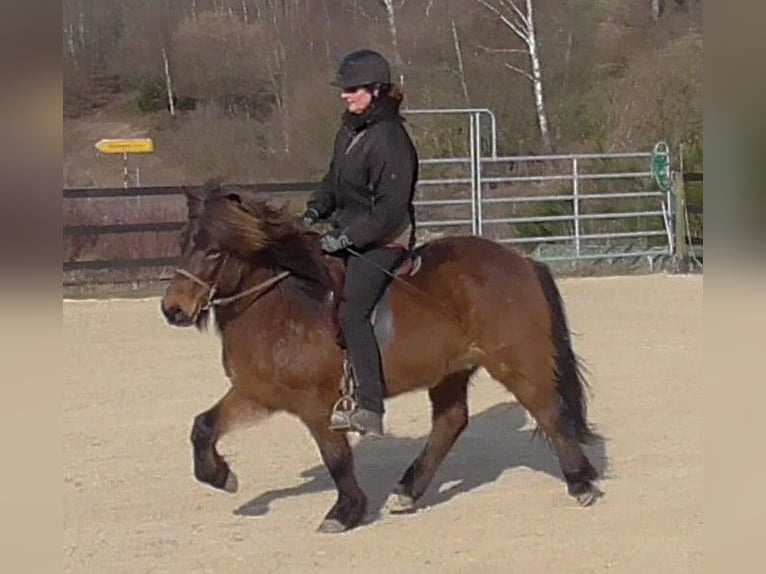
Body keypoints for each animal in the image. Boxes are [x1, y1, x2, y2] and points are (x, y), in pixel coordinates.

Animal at [160, 180, 601, 533]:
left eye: (213, 251)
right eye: (182, 243)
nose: (173, 310)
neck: (282, 303)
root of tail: (521, 261)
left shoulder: (315, 405)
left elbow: (336, 457)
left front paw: (345, 512)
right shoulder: (257, 393)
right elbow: (203, 426)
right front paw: (221, 477)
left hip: (515, 362)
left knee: (549, 411)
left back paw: (581, 482)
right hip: (451, 370)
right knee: (451, 422)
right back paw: (407, 491)